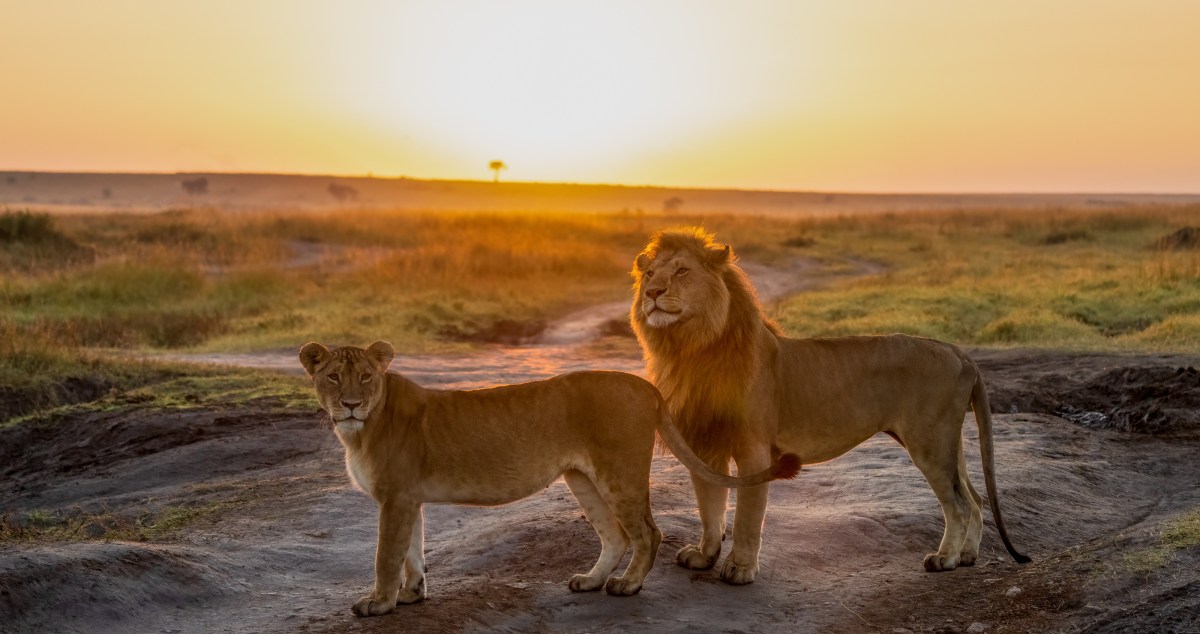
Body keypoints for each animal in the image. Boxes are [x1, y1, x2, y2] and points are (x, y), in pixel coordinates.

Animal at [299, 341, 800, 617]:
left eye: (366, 376)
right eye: (332, 377)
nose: (349, 404)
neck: (359, 429)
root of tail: (644, 385)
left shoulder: (396, 498)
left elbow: (386, 555)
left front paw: (379, 604)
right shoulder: (408, 499)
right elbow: (412, 552)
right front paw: (411, 594)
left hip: (619, 472)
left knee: (647, 533)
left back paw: (627, 586)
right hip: (582, 478)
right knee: (615, 536)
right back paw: (591, 581)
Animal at [630, 228, 1030, 585]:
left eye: (682, 271)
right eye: (650, 274)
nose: (652, 292)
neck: (690, 348)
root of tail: (958, 352)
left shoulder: (754, 449)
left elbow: (746, 514)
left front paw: (740, 569)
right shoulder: (705, 447)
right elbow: (710, 506)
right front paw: (704, 556)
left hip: (929, 442)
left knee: (958, 504)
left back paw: (944, 559)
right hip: (948, 440)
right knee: (975, 498)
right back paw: (967, 556)